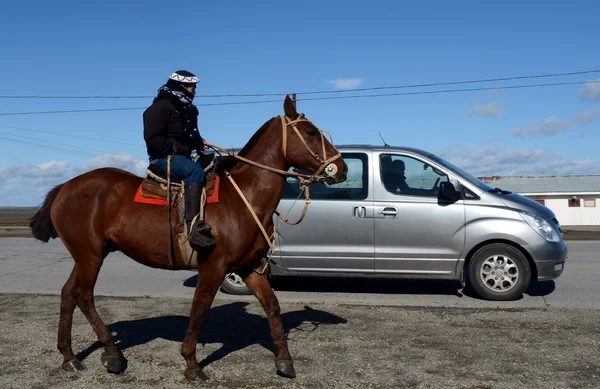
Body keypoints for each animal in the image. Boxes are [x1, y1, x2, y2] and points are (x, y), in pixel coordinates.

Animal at [28, 94, 346, 382]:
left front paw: (284, 361)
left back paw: (69, 357)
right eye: (310, 132)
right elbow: (200, 310)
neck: (244, 198)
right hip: (90, 256)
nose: (341, 168)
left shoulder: (249, 268)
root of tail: (65, 187)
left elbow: (272, 306)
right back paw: (112, 354)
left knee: (68, 294)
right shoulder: (213, 267)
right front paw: (192, 364)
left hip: (86, 256)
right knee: (85, 296)